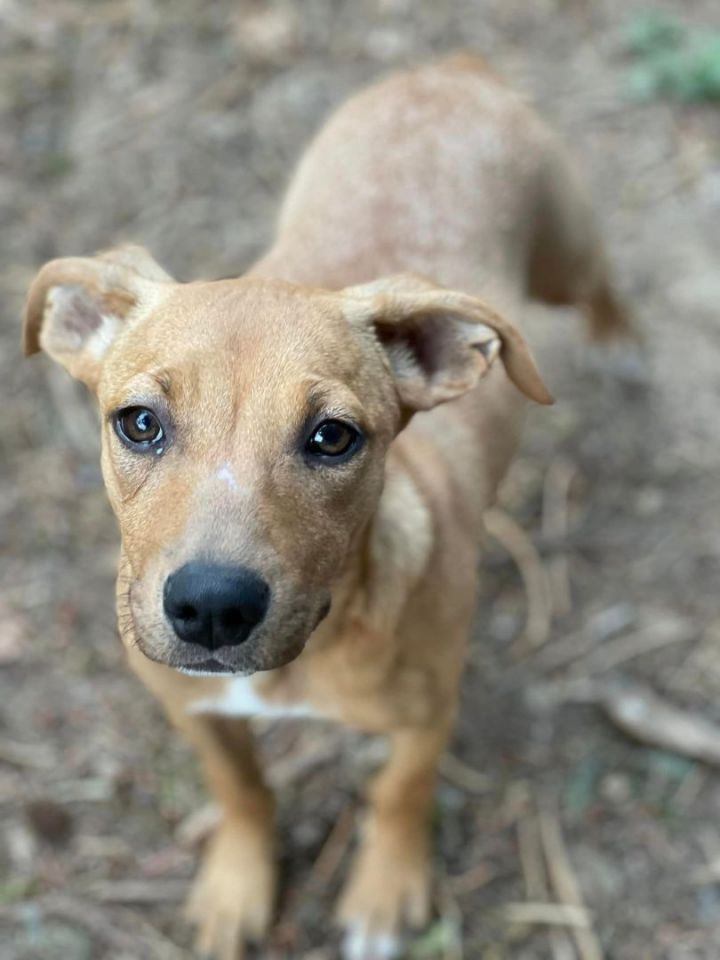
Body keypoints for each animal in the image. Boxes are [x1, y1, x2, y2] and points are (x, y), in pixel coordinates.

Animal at [21, 56, 632, 956]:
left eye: (333, 438)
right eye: (138, 423)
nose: (211, 607)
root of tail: (446, 71)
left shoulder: (427, 716)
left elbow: (400, 794)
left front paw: (384, 892)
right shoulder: (192, 708)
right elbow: (241, 789)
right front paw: (237, 885)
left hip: (565, 247)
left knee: (602, 288)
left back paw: (622, 342)